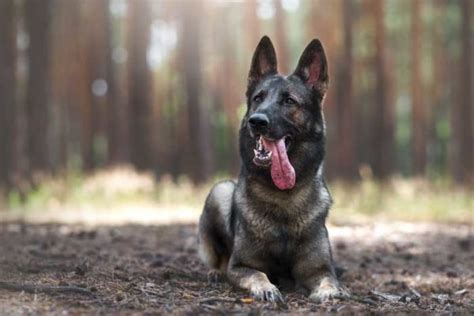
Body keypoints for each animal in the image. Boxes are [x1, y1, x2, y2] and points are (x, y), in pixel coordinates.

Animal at [197, 35, 344, 302]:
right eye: (258, 98)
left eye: (289, 101)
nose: (257, 121)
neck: (282, 196)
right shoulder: (241, 265)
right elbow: (257, 274)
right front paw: (266, 288)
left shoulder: (318, 268)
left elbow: (328, 279)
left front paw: (329, 293)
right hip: (219, 191)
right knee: (218, 260)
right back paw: (215, 272)